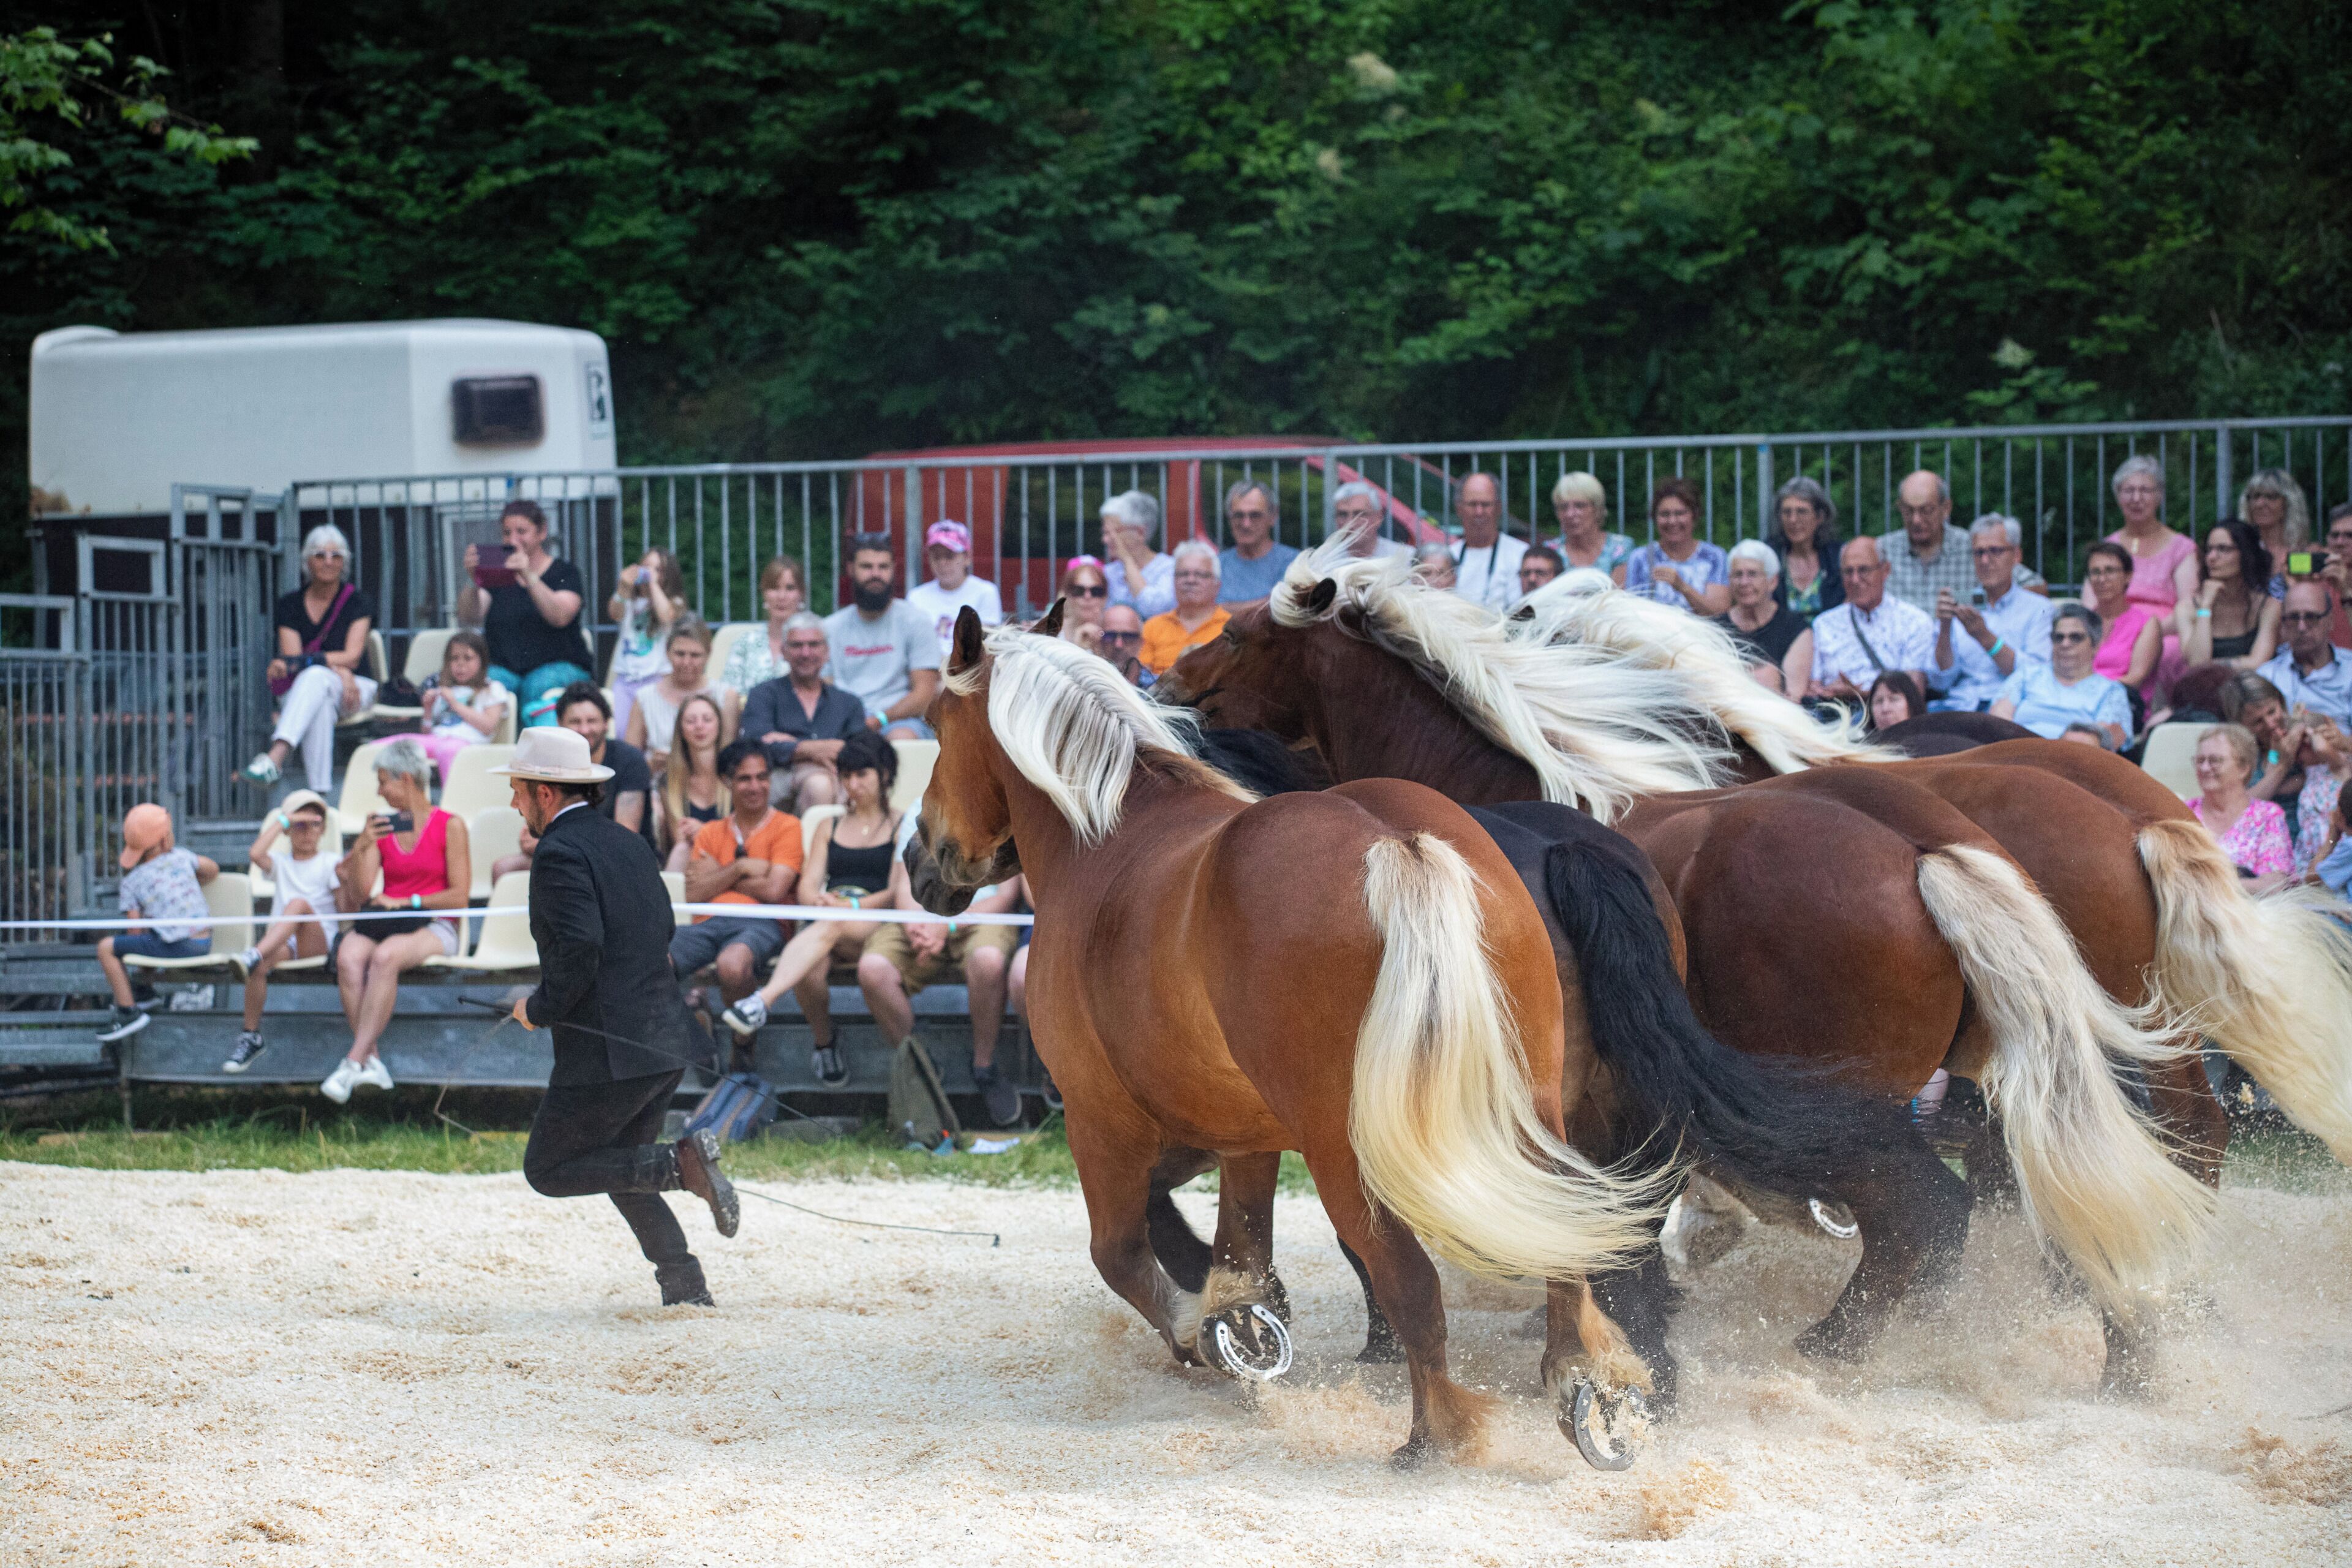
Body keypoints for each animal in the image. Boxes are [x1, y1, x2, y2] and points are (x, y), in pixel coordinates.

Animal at [906, 606, 1677, 1466]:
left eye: (934, 725)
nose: (919, 859)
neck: (1107, 840)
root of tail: (1399, 844)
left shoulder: (1100, 1119)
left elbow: (1124, 1253)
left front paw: (1201, 1335)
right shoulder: (1245, 1135)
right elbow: (1243, 1253)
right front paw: (1240, 1325)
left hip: (1349, 1150)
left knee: (1410, 1280)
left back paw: (1435, 1435)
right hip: (1531, 1116)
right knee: (1562, 1248)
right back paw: (1586, 1387)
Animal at [1159, 554, 2223, 1388]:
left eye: (1240, 633)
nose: (1165, 681)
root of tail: (1928, 849)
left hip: (1864, 1099)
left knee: (1934, 1212)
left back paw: (1835, 1350)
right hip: (2050, 1060)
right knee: (2104, 1172)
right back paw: (2129, 1347)